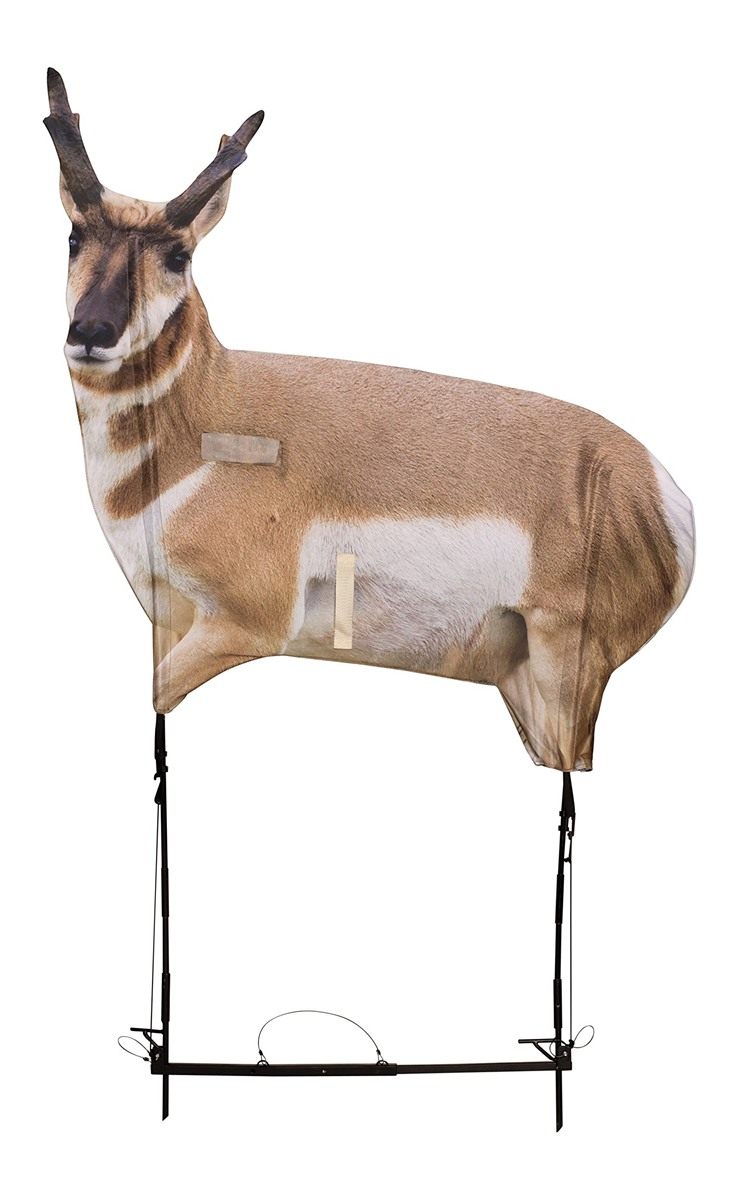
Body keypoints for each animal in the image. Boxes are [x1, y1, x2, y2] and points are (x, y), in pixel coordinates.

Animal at [44, 68, 694, 772]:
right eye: (74, 236)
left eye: (178, 256)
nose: (91, 332)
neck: (211, 418)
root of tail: (657, 487)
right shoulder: (169, 619)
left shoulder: (242, 624)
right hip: (521, 682)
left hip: (564, 671)